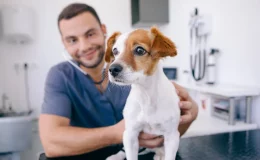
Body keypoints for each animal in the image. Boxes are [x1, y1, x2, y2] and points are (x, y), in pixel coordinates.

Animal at [104, 26, 180, 160]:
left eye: (139, 50)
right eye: (115, 51)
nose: (112, 69)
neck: (146, 94)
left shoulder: (172, 137)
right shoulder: (130, 134)